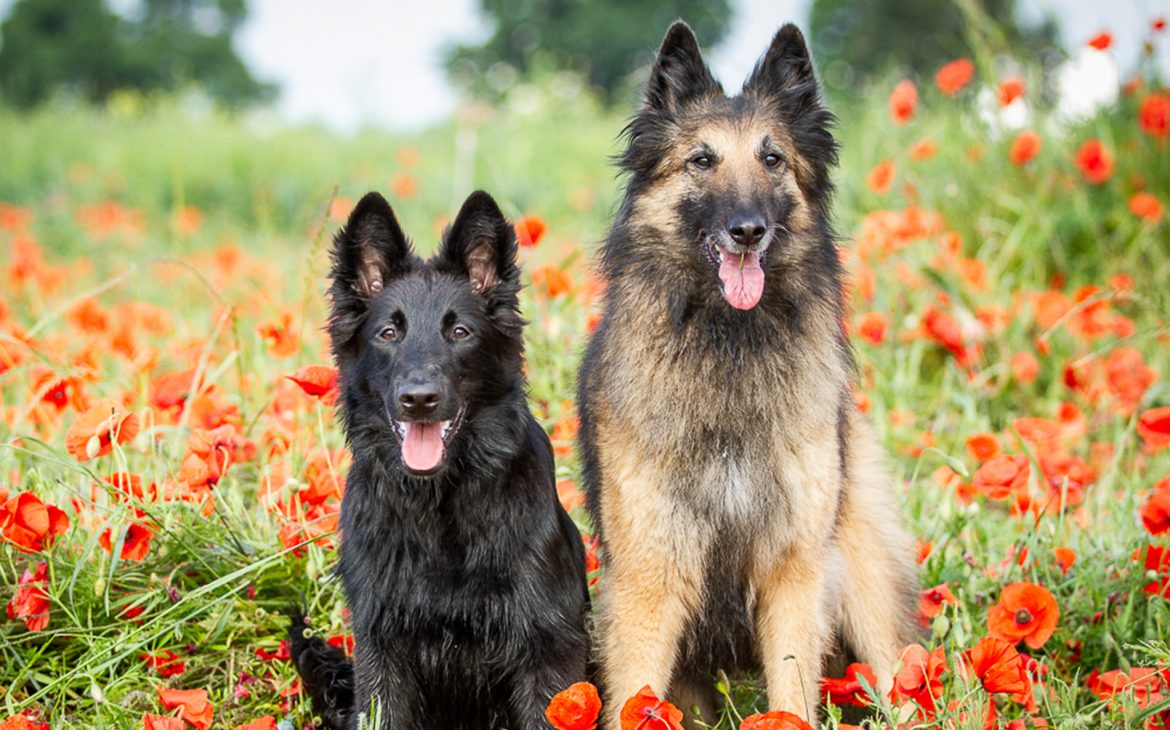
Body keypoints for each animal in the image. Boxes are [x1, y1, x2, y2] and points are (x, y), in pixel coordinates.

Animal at [288, 189, 589, 730]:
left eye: (461, 332)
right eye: (388, 333)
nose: (419, 399)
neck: (440, 502)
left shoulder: (548, 650)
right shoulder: (382, 653)